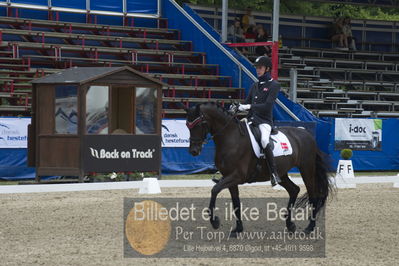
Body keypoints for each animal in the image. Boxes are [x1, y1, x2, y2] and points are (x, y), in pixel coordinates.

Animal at [185, 103, 334, 234]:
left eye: (200, 124)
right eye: (187, 125)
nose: (193, 151)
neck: (231, 138)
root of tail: (308, 135)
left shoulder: (237, 176)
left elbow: (215, 190)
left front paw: (215, 221)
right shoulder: (230, 178)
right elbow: (236, 203)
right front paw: (238, 229)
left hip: (306, 169)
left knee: (313, 195)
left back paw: (309, 228)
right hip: (282, 173)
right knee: (294, 190)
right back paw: (290, 225)